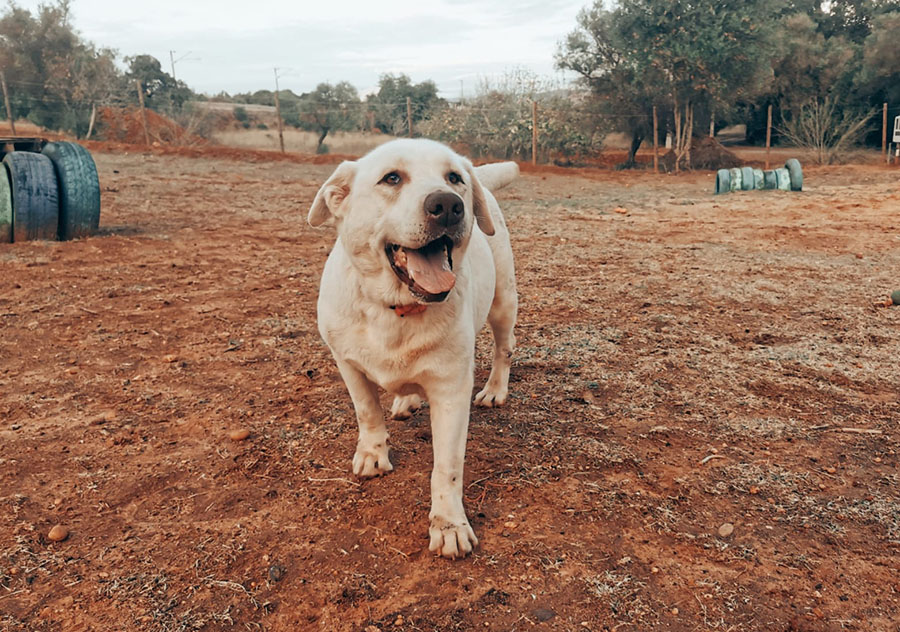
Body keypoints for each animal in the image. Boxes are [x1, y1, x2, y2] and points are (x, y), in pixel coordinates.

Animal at [307, 138, 518, 559]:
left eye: (453, 177)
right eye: (392, 178)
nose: (449, 204)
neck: (397, 309)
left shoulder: (452, 391)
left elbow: (446, 467)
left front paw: (449, 524)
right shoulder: (347, 363)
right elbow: (367, 411)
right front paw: (373, 452)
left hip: (503, 304)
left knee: (504, 349)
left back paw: (495, 390)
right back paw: (406, 400)